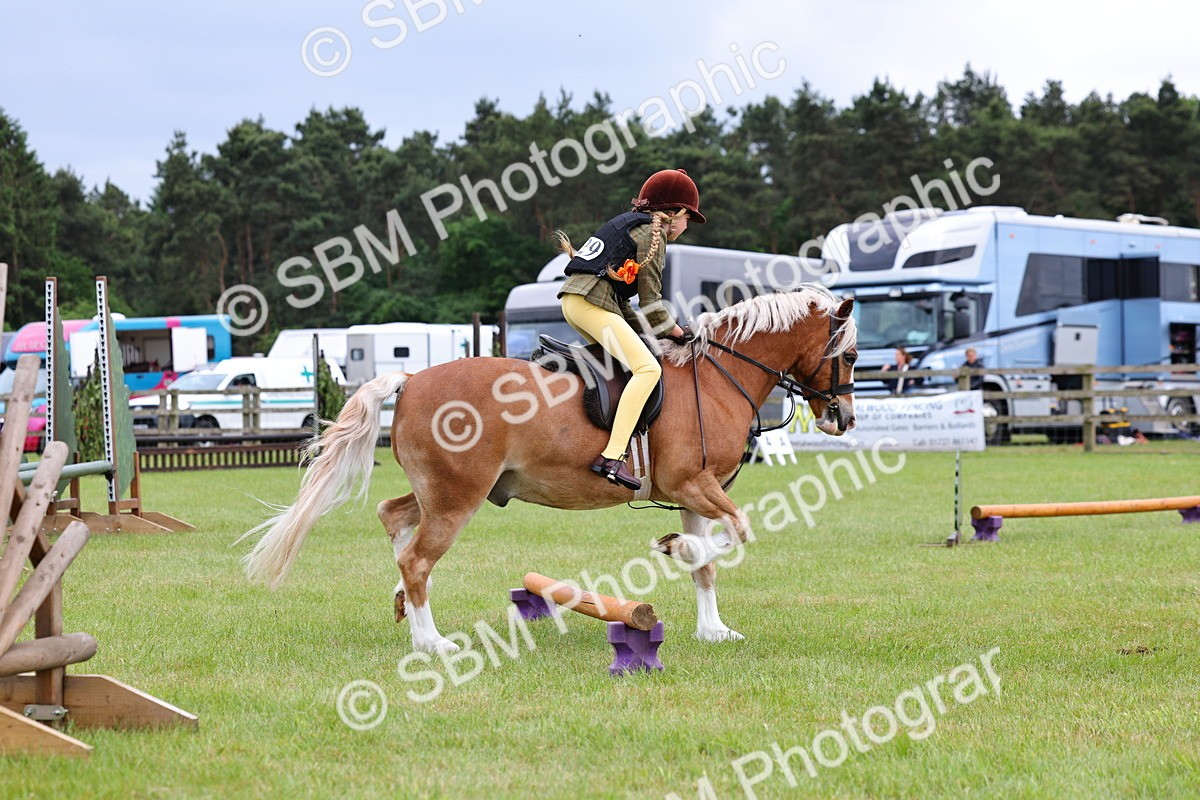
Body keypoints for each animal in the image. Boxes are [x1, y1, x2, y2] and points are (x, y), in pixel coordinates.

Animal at [242, 285, 858, 653]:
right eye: (850, 354)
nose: (843, 418)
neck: (716, 376)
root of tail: (412, 379)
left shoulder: (693, 495)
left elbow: (707, 564)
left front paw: (712, 628)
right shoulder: (694, 485)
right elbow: (736, 535)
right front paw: (671, 548)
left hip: (441, 491)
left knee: (394, 520)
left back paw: (407, 611)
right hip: (457, 496)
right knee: (417, 559)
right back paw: (432, 643)